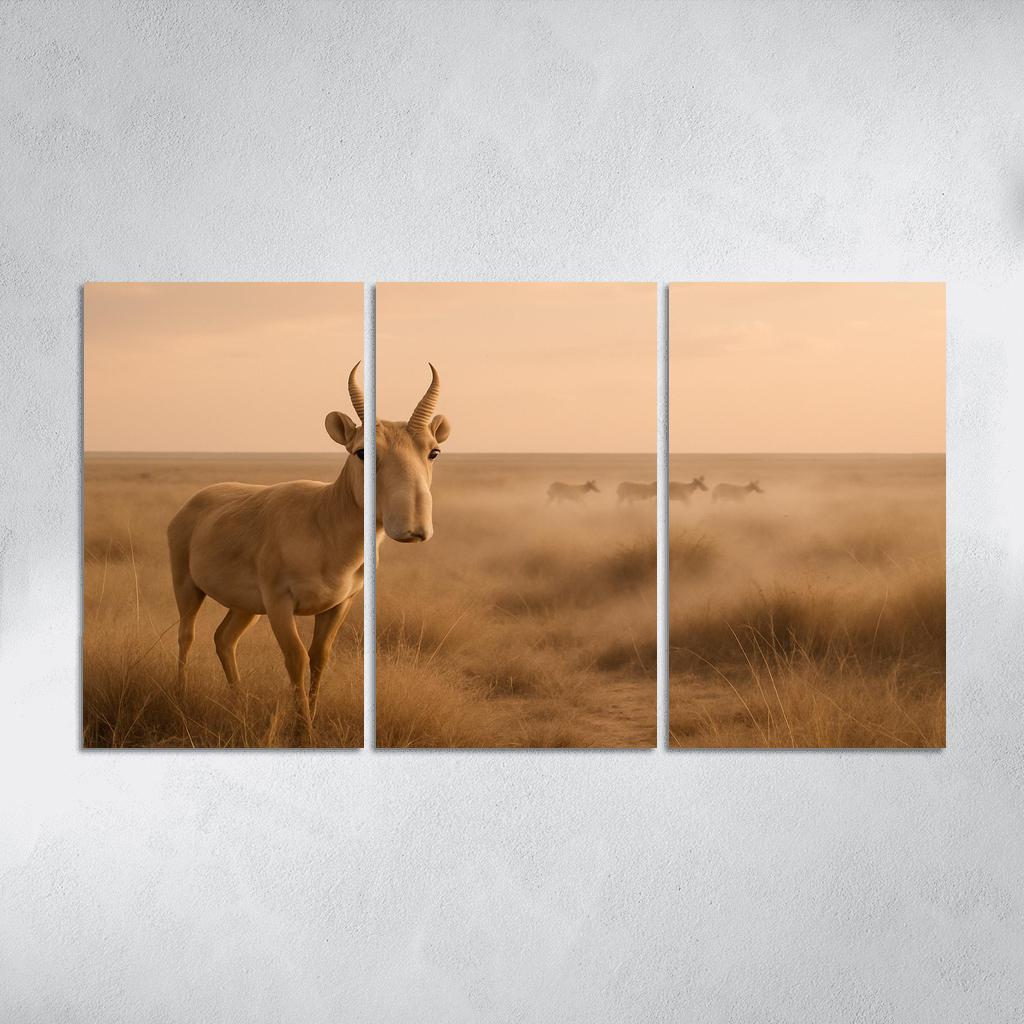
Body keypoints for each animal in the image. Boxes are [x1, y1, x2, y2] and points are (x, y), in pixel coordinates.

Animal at [166, 362, 450, 742]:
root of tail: (193, 503)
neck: (322, 520)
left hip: (245, 607)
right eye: (362, 451)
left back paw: (239, 705)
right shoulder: (279, 604)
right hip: (188, 587)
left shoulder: (339, 605)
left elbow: (319, 657)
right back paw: (181, 698)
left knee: (224, 639)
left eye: (433, 451)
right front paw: (303, 733)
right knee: (187, 635)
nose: (414, 528)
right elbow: (296, 659)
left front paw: (309, 723)